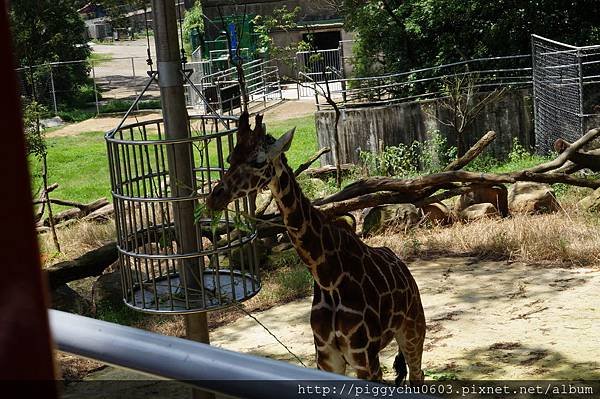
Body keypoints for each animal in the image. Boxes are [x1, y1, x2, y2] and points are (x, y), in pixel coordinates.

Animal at [206, 111, 426, 384]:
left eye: (258, 161)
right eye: (230, 158)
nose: (214, 198)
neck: (328, 278)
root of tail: (403, 267)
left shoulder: (365, 359)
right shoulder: (327, 358)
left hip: (413, 328)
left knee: (417, 375)